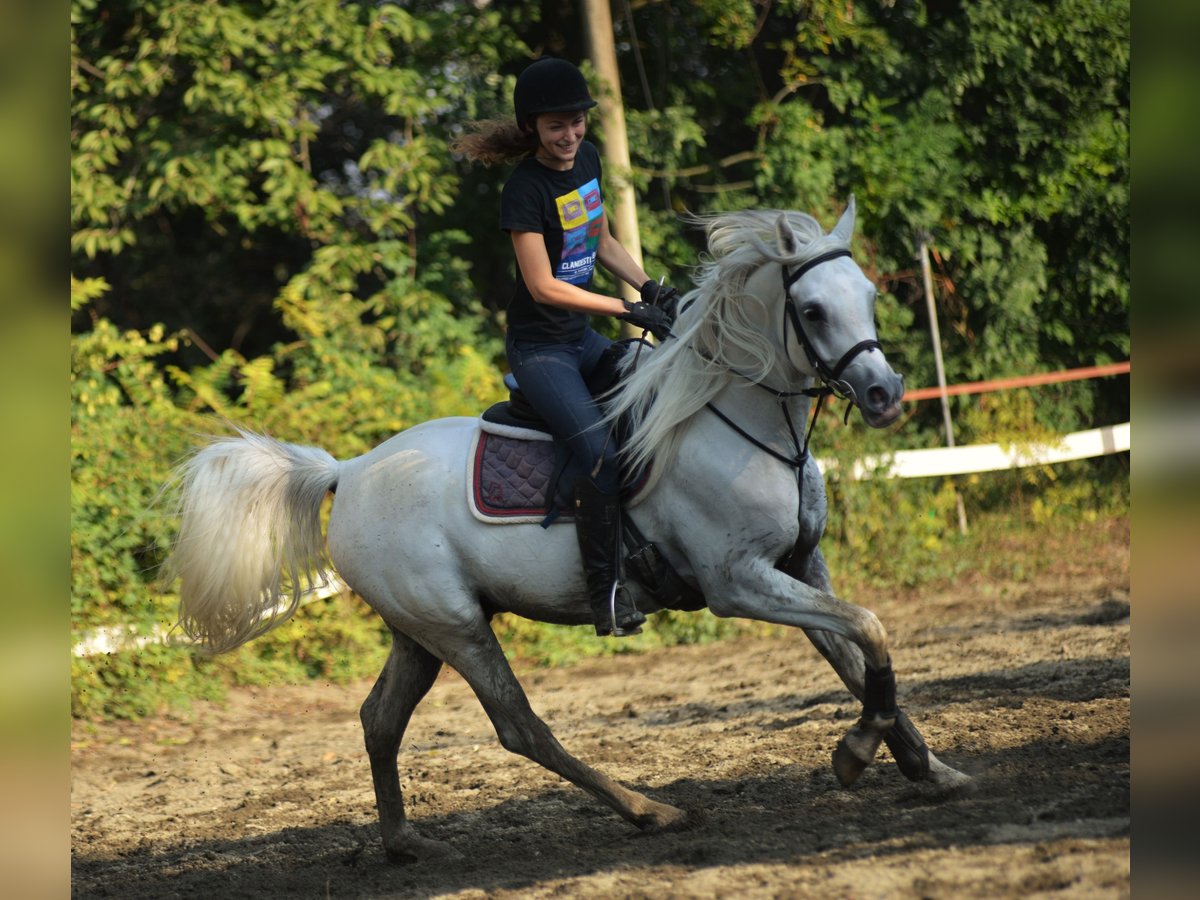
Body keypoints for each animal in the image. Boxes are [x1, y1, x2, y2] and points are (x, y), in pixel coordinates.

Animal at [169, 199, 969, 868]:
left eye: (867, 295)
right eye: (811, 308)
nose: (884, 394)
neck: (734, 419)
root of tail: (352, 469)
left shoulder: (802, 565)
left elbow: (860, 656)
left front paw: (928, 768)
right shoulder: (738, 583)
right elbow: (869, 630)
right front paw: (855, 753)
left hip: (418, 632)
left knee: (379, 720)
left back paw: (404, 843)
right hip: (457, 627)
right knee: (518, 727)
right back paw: (650, 811)